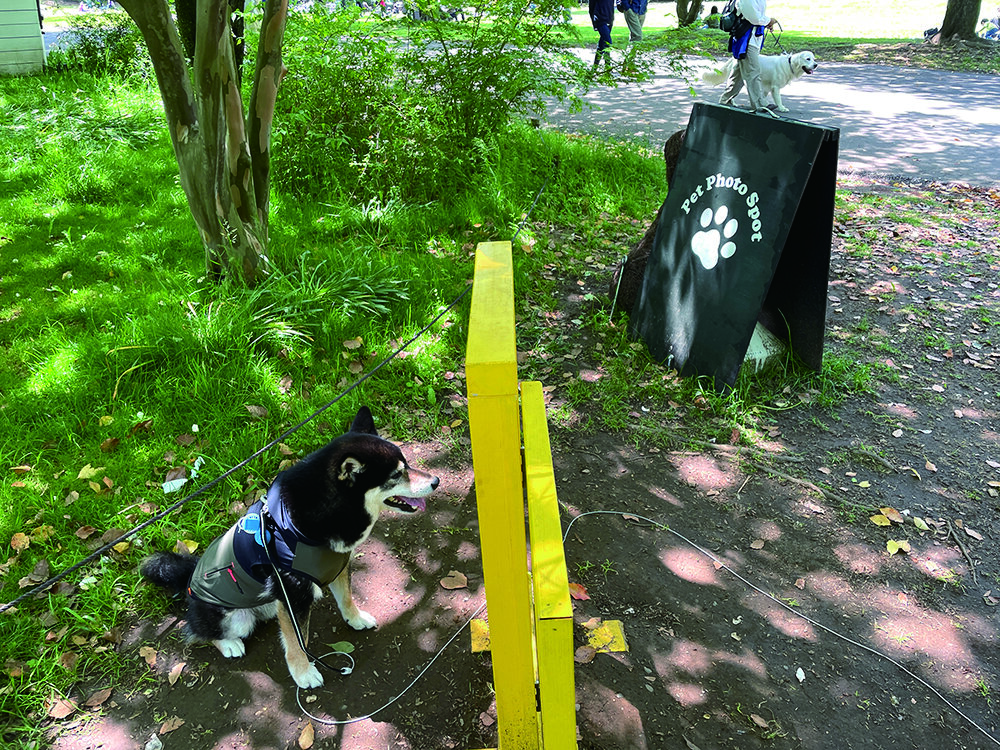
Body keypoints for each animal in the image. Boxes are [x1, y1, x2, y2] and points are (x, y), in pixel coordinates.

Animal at [143, 408, 440, 692]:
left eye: (407, 464)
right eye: (396, 475)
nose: (436, 480)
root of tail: (189, 579)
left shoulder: (336, 568)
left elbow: (346, 598)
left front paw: (355, 619)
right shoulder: (294, 595)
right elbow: (299, 642)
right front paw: (304, 673)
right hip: (235, 618)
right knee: (196, 631)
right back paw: (227, 644)